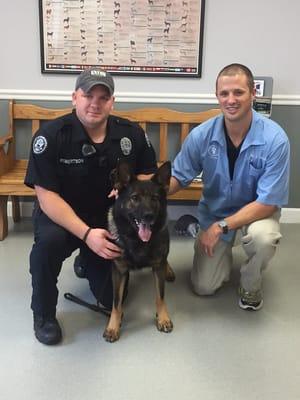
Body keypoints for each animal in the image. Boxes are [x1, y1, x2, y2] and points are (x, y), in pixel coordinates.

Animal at [103, 161, 173, 342]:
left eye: (154, 198)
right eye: (135, 198)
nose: (148, 216)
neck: (137, 241)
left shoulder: (157, 267)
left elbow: (160, 296)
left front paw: (163, 317)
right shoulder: (119, 271)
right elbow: (116, 302)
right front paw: (113, 325)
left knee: (165, 258)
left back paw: (169, 269)